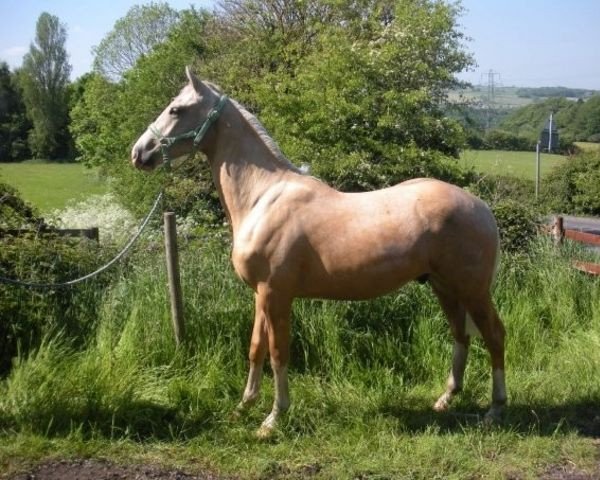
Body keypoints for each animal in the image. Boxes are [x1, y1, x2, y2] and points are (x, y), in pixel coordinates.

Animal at [132, 67, 506, 438]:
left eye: (176, 109)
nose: (138, 152)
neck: (262, 196)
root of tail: (481, 207)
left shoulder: (276, 294)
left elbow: (278, 352)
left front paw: (273, 419)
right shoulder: (260, 295)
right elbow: (255, 348)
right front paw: (243, 407)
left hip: (472, 290)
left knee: (494, 335)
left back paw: (495, 410)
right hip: (444, 287)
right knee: (461, 335)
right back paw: (445, 399)